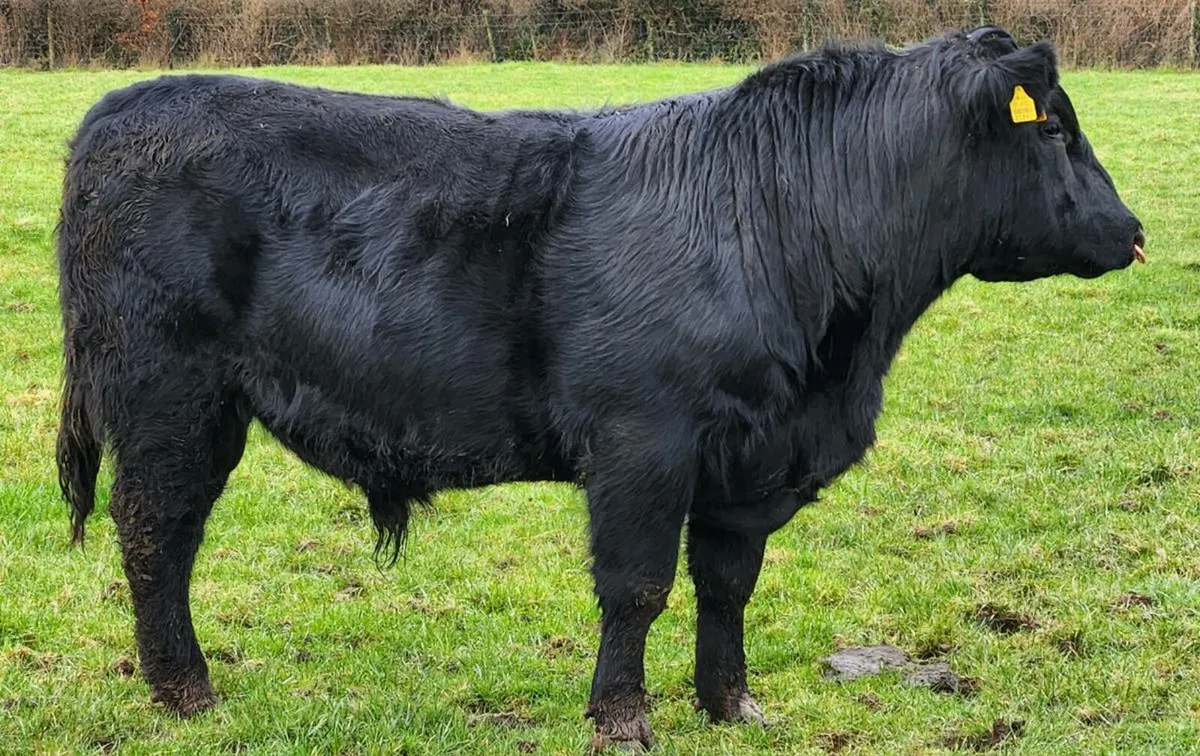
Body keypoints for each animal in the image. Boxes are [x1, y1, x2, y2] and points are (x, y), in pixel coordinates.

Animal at [55, 25, 1144, 748]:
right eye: (1053, 128)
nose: (1133, 231)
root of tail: (124, 107)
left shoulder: (748, 465)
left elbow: (727, 585)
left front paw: (731, 703)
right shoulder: (643, 447)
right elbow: (637, 589)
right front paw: (623, 718)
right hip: (169, 398)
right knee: (155, 536)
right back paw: (185, 691)